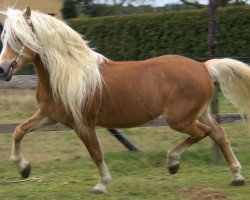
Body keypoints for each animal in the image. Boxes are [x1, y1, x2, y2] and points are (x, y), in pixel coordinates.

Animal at [0, 7, 250, 194]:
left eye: (18, 38)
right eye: (4, 38)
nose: (3, 70)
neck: (69, 73)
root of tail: (203, 66)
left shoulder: (83, 124)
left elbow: (96, 153)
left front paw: (101, 185)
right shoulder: (49, 116)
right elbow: (19, 131)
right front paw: (24, 169)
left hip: (179, 119)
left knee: (203, 133)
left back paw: (173, 162)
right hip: (199, 113)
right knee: (218, 134)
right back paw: (236, 176)